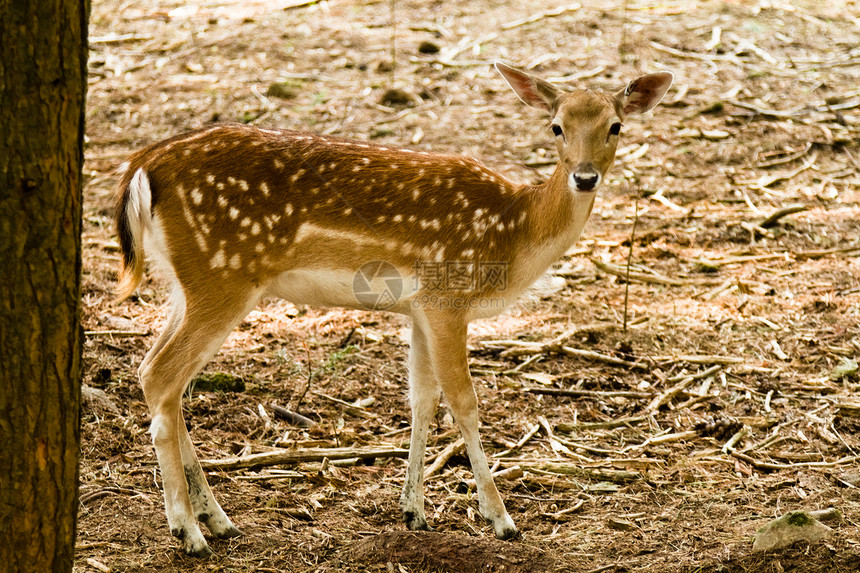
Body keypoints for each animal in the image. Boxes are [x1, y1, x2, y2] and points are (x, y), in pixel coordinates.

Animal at [112, 61, 672, 556]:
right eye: (556, 126)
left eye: (615, 126)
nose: (584, 177)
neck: (512, 234)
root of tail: (141, 167)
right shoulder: (448, 297)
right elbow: (465, 403)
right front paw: (501, 519)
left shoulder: (419, 309)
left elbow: (422, 399)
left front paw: (414, 511)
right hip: (221, 275)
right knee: (162, 376)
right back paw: (189, 532)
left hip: (186, 282)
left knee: (153, 373)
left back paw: (218, 519)